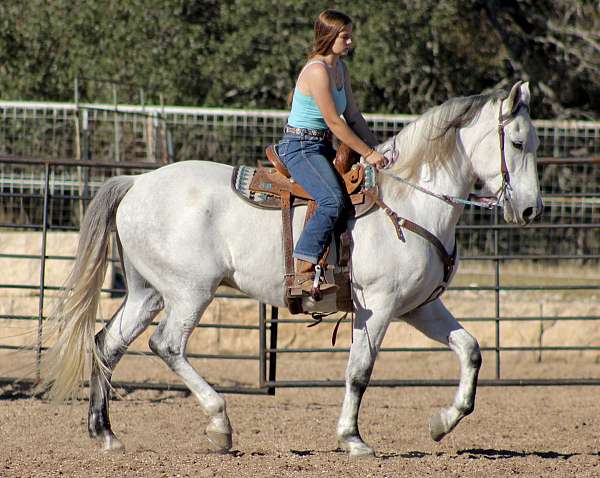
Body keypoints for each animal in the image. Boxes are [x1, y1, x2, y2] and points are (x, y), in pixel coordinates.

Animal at [41, 81, 540, 456]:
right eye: (516, 142)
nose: (531, 210)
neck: (409, 201)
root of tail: (137, 182)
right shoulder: (377, 306)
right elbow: (360, 370)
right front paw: (353, 439)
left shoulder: (418, 307)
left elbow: (470, 350)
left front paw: (442, 422)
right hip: (189, 292)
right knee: (166, 345)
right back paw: (220, 426)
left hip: (147, 293)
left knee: (107, 344)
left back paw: (106, 433)